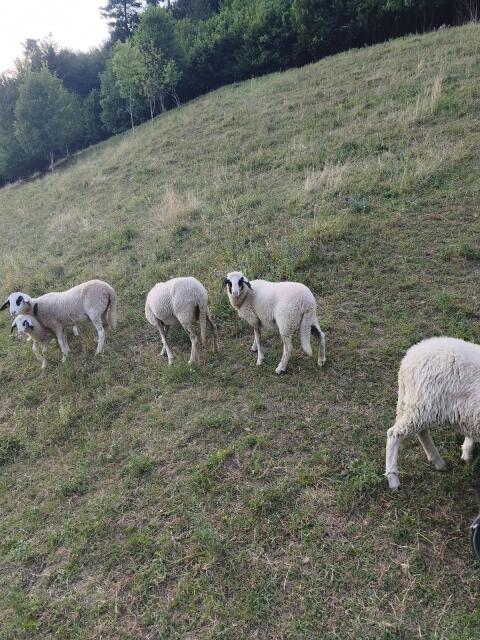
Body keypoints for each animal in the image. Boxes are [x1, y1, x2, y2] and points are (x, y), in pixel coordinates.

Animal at [386, 336, 480, 490]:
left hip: (422, 406)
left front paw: (467, 451)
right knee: (395, 434)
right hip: (422, 404)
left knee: (421, 432)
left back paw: (438, 462)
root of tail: (407, 359)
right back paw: (393, 479)